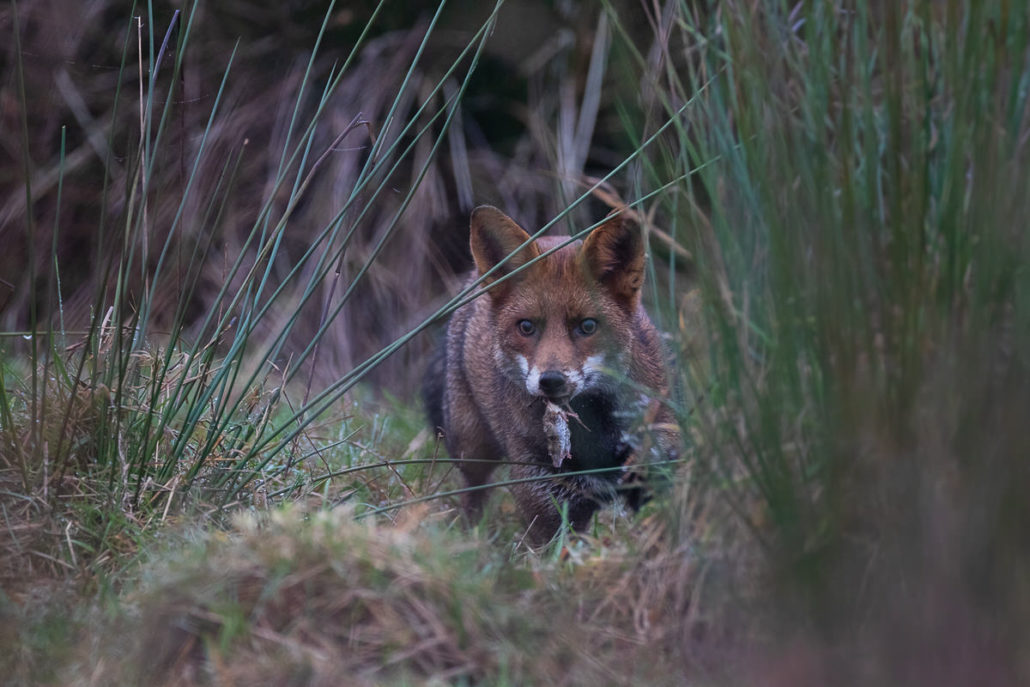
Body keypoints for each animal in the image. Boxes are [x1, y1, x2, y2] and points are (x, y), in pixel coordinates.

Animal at [422, 207, 679, 543]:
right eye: (526, 327)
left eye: (587, 326)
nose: (551, 380)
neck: (595, 437)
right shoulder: (545, 497)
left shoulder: (660, 447)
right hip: (471, 448)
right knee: (472, 493)